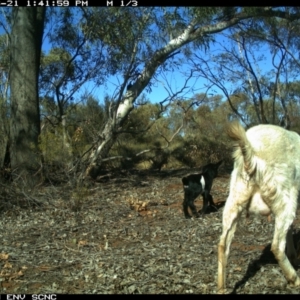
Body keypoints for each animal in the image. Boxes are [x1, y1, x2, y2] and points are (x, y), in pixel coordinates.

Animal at [218, 121, 300, 292]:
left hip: (234, 198)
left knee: (223, 245)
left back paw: (221, 289)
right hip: (285, 197)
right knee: (276, 246)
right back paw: (294, 279)